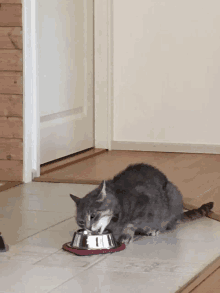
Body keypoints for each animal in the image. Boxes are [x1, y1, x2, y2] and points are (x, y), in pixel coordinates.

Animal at [69, 162, 214, 244]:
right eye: (81, 221)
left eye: (93, 216)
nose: (88, 228)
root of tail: (180, 214)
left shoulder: (145, 205)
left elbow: (131, 223)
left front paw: (126, 235)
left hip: (172, 194)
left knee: (168, 224)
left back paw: (154, 229)